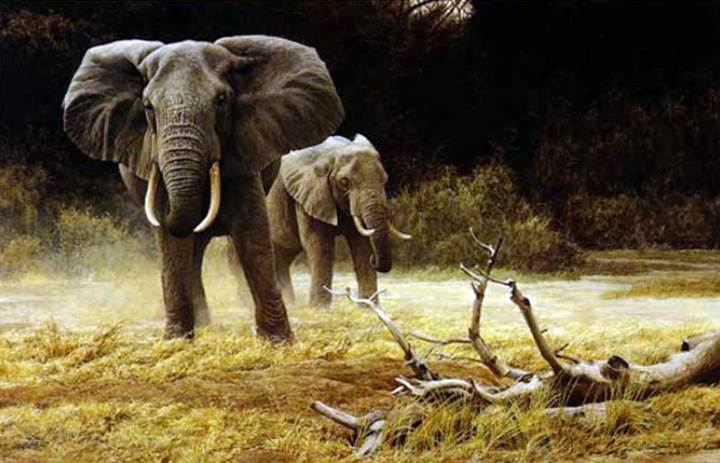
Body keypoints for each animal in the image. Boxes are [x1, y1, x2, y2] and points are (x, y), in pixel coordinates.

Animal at [62, 37, 344, 340]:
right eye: (148, 106)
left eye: (221, 101)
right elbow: (172, 241)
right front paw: (176, 339)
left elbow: (251, 230)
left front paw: (278, 341)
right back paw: (201, 322)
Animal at [267, 134, 411, 306]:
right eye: (344, 182)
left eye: (385, 180)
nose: (374, 260)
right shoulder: (308, 195)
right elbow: (320, 245)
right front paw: (319, 308)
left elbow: (361, 246)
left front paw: (368, 307)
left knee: (282, 260)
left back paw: (291, 304)